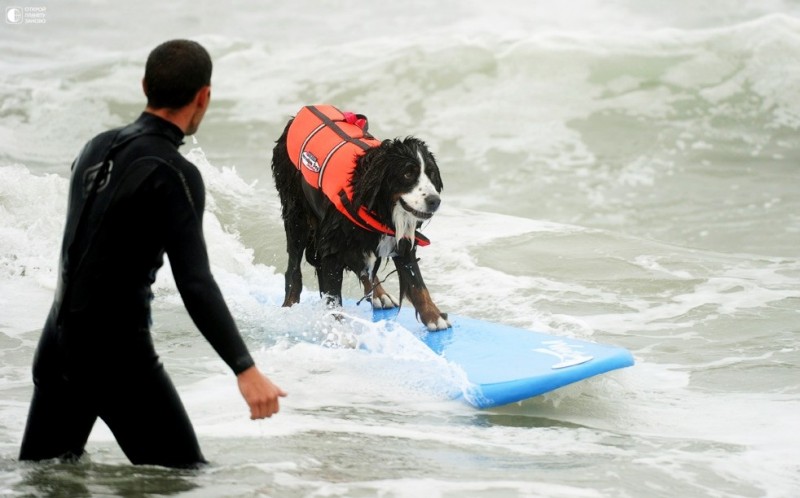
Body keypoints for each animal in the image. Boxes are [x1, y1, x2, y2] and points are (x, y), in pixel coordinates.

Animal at [272, 105, 450, 330]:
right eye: (408, 174)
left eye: (431, 174)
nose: (435, 200)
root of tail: (299, 114)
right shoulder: (332, 246)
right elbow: (333, 297)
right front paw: (338, 329)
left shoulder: (399, 235)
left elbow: (417, 283)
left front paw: (433, 316)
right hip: (297, 217)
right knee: (293, 268)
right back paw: (289, 306)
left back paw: (380, 295)